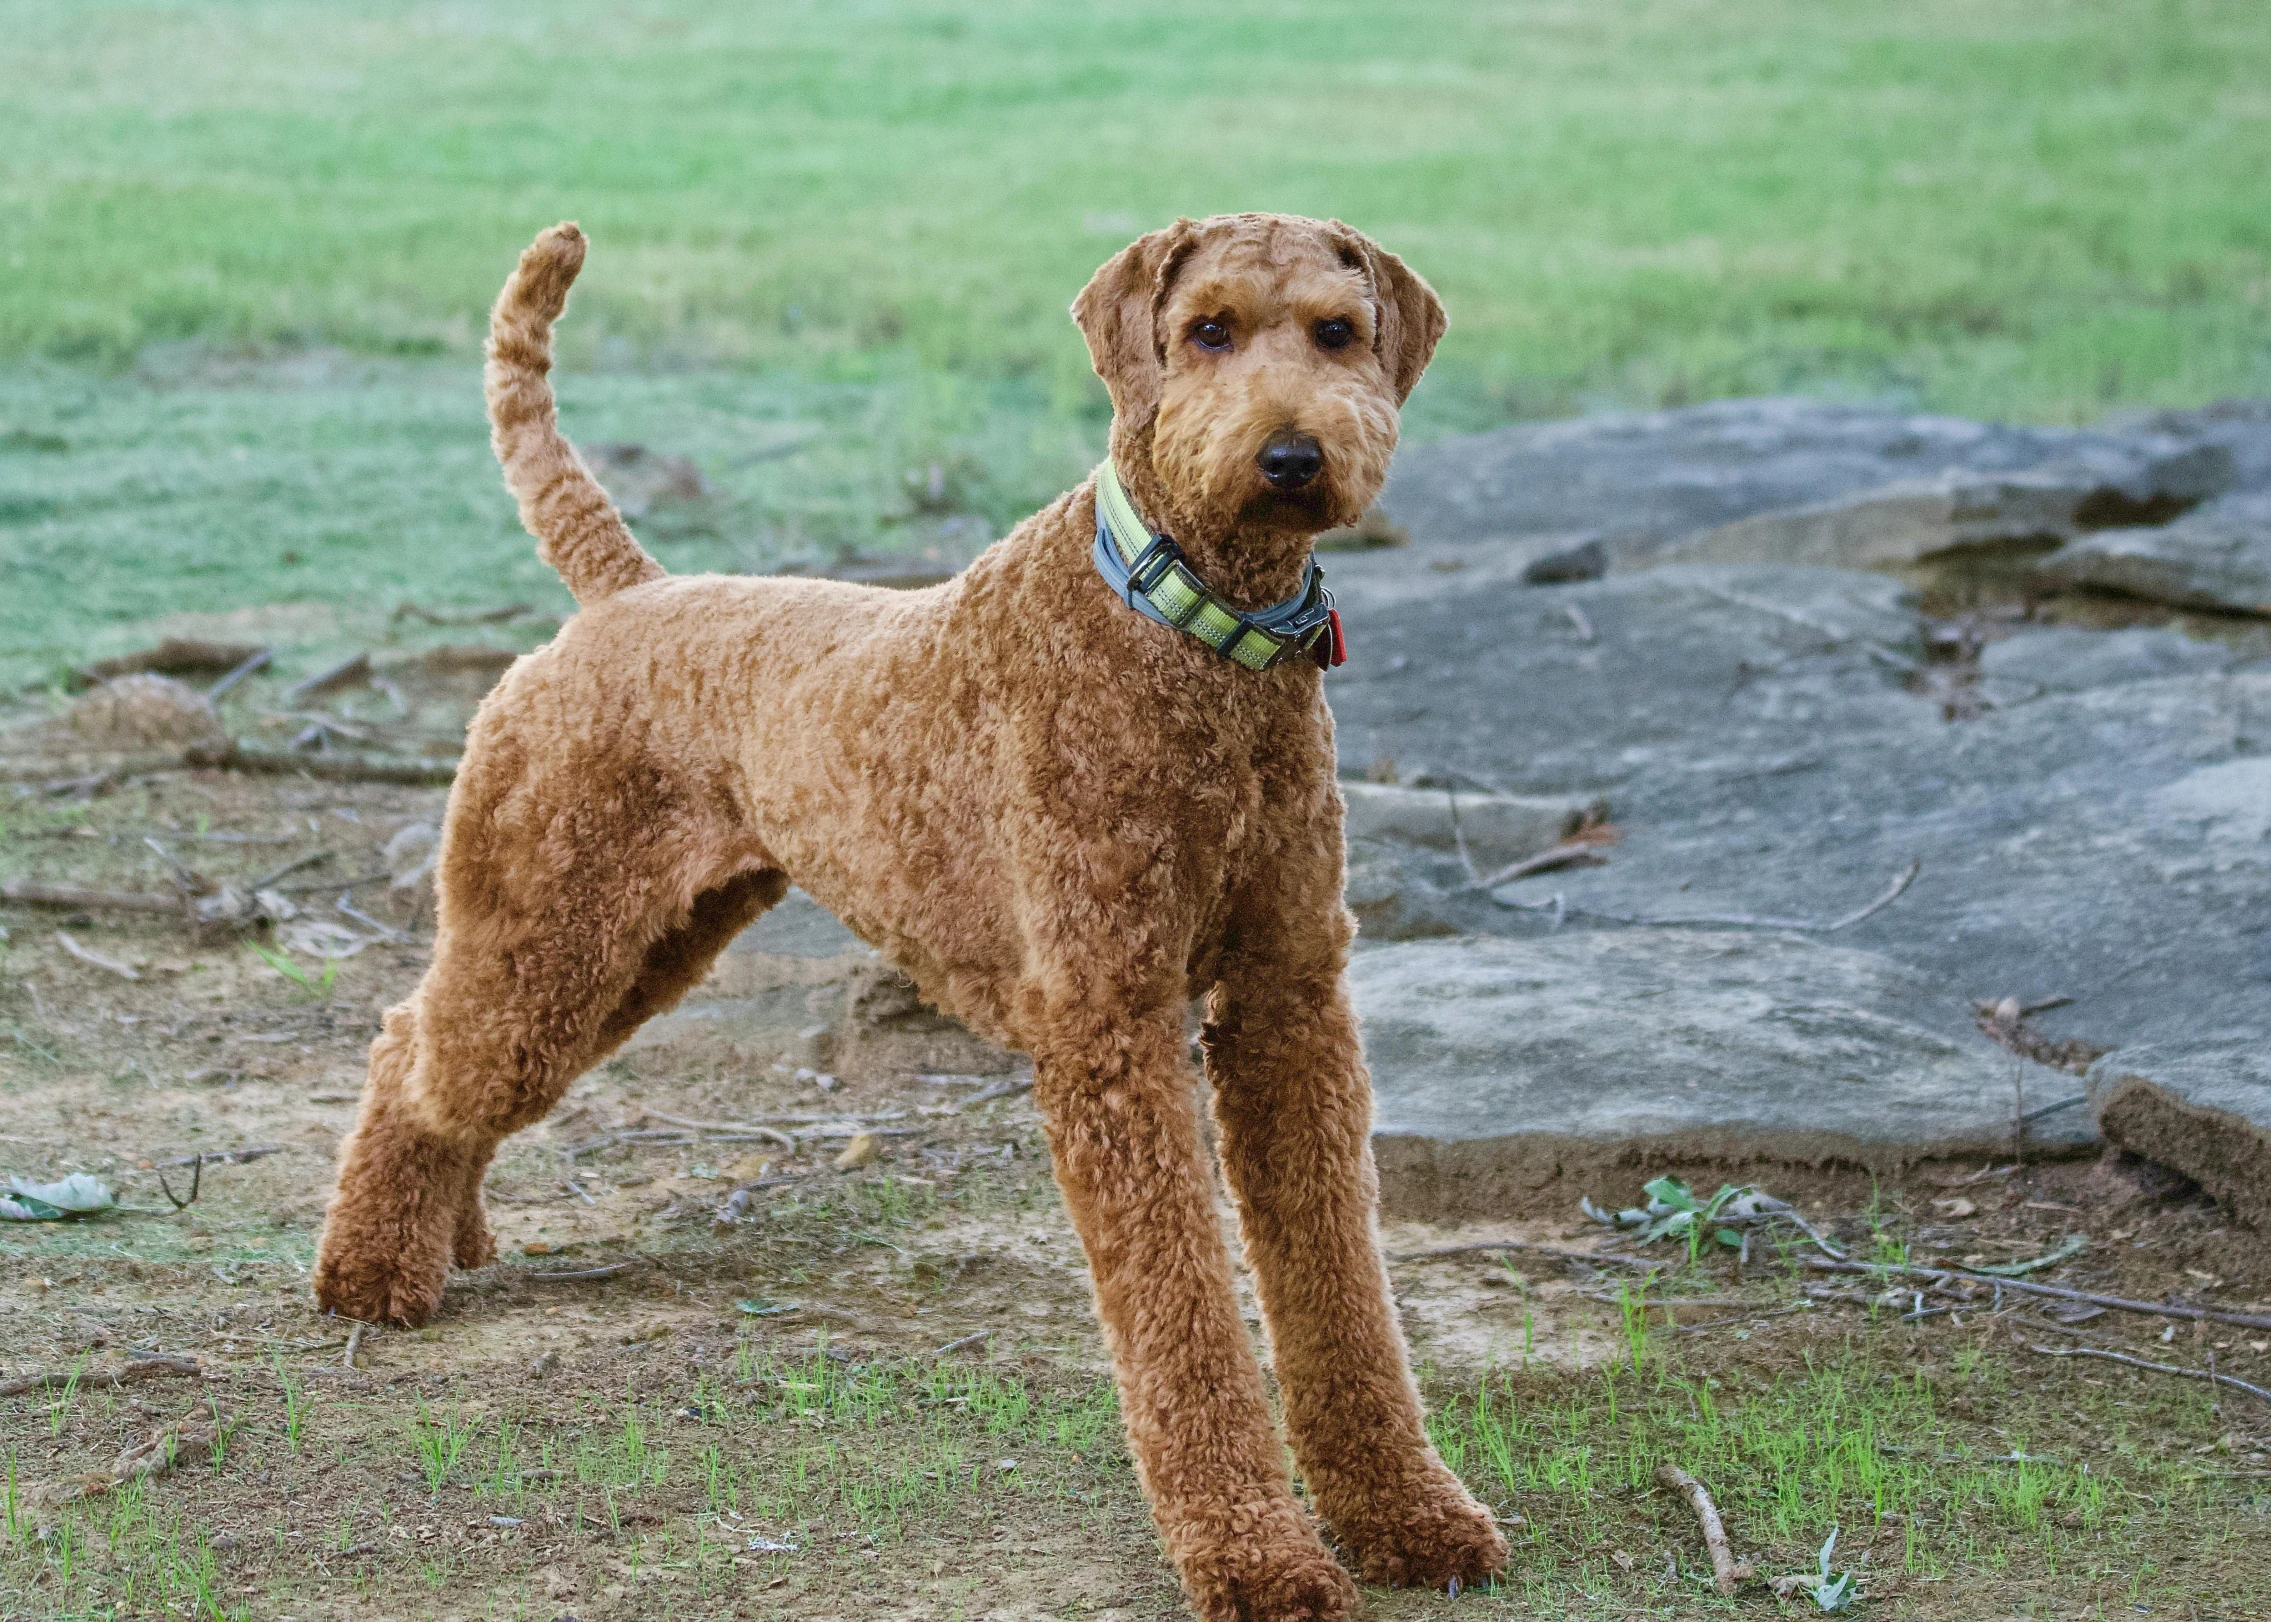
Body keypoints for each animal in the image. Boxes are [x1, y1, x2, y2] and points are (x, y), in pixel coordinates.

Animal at [306, 218, 1507, 1617]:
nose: (1292, 457)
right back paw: (371, 1277)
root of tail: (626, 596)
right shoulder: (1112, 1029)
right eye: (1207, 329)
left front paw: (1409, 1517)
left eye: (1338, 332)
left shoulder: (1287, 1003)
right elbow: (1186, 1320)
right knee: (412, 1050)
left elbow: (1340, 1291)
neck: (1189, 635)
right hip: (552, 929)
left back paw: (450, 1240)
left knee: (442, 1070)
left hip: (640, 945)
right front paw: (1259, 1557)